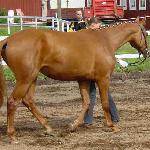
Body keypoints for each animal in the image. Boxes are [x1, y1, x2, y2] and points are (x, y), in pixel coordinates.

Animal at [0, 17, 149, 142]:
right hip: (25, 79)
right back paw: (12, 136)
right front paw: (112, 126)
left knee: (28, 101)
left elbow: (87, 103)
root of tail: (8, 40)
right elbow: (105, 103)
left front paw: (73, 126)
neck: (105, 40)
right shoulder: (103, 79)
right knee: (13, 102)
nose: (146, 52)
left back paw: (48, 128)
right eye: (145, 34)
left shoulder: (83, 80)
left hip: (32, 77)